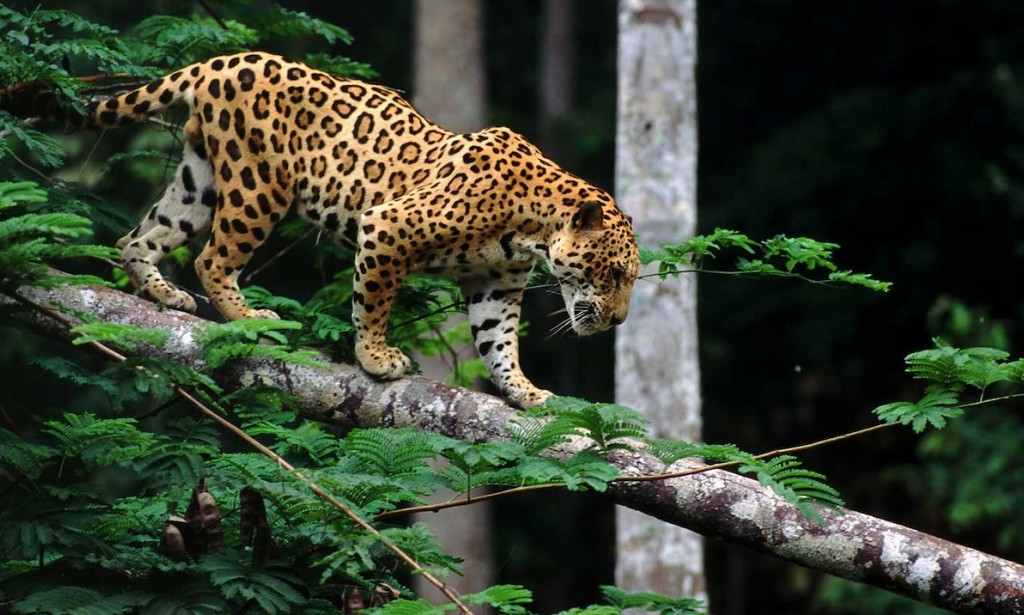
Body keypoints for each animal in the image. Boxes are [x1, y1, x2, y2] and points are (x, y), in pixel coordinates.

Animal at [82, 52, 640, 408]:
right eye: (613, 274)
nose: (618, 322)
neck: (533, 227)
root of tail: (224, 61)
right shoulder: (390, 227)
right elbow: (373, 302)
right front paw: (376, 358)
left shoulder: (496, 285)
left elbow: (498, 342)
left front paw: (523, 390)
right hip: (257, 186)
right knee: (212, 259)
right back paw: (249, 317)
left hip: (199, 182)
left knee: (137, 239)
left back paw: (162, 292)